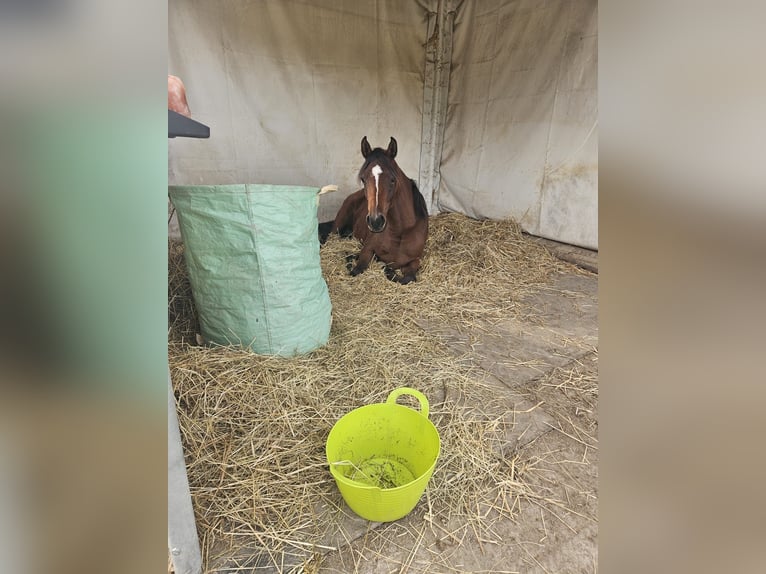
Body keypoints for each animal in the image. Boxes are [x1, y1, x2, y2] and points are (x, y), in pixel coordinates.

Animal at [326, 136, 429, 284]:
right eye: (363, 179)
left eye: (392, 179)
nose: (375, 221)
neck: (401, 232)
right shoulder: (367, 250)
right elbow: (356, 270)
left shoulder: (414, 261)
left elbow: (408, 278)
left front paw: (389, 270)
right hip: (337, 226)